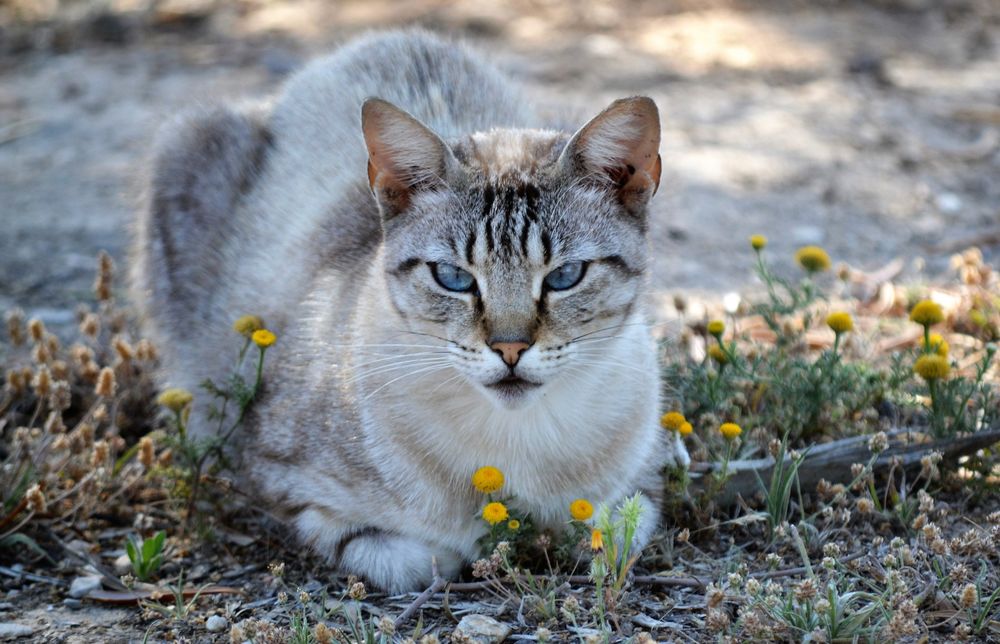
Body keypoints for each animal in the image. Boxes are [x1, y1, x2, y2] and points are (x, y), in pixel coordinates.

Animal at [131, 31, 688, 592]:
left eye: (564, 276)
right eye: (454, 278)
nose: (510, 349)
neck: (516, 449)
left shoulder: (641, 483)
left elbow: (614, 537)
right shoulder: (272, 475)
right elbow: (411, 560)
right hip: (187, 144)